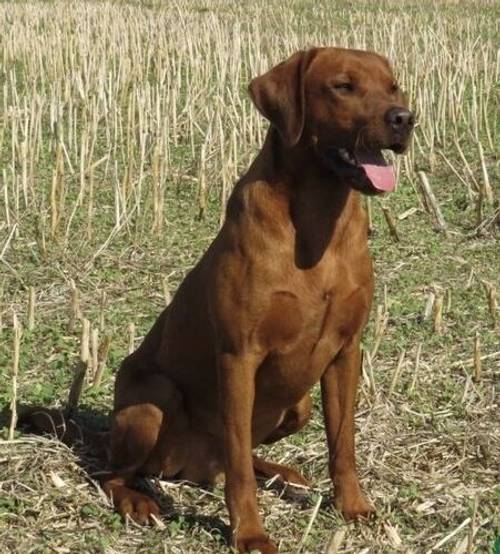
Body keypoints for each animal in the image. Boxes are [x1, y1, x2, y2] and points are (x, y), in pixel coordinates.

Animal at [100, 48, 414, 552]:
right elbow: (239, 470)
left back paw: (282, 471)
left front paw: (353, 506)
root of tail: (188, 469)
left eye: (393, 87)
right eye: (342, 86)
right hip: (152, 398)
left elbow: (343, 445)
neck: (318, 217)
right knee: (117, 472)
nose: (404, 118)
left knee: (245, 453)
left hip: (298, 405)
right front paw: (249, 532)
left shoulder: (347, 352)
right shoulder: (238, 356)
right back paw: (138, 501)